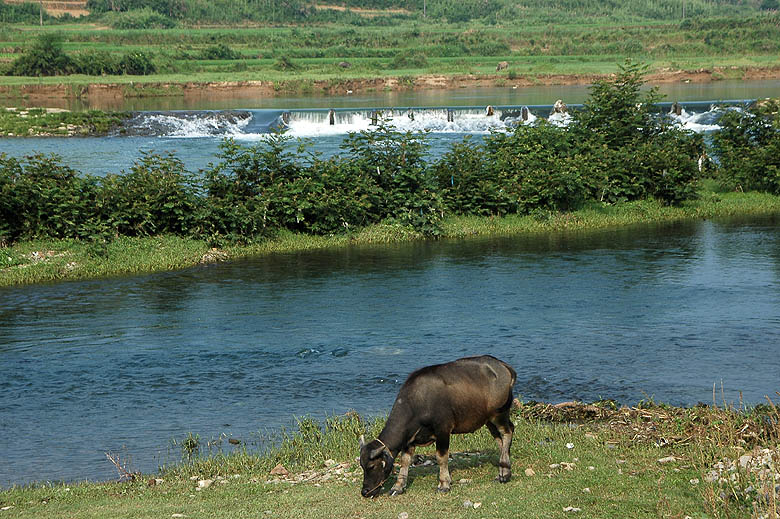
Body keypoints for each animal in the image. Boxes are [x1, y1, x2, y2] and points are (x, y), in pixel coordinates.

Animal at [360, 356, 516, 498]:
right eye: (362, 465)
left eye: (372, 466)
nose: (365, 492)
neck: (418, 402)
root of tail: (504, 366)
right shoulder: (410, 439)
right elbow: (405, 461)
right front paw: (398, 487)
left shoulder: (443, 430)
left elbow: (441, 457)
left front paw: (444, 484)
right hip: (488, 419)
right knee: (500, 439)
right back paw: (503, 471)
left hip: (500, 413)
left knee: (507, 432)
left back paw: (504, 472)